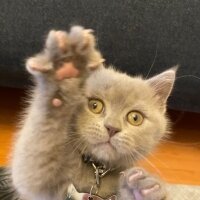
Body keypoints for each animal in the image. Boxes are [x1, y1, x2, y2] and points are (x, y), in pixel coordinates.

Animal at [11, 26, 176, 200]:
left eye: (135, 118)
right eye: (95, 105)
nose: (112, 128)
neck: (97, 168)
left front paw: (145, 186)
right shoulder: (40, 187)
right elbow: (33, 163)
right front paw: (65, 72)